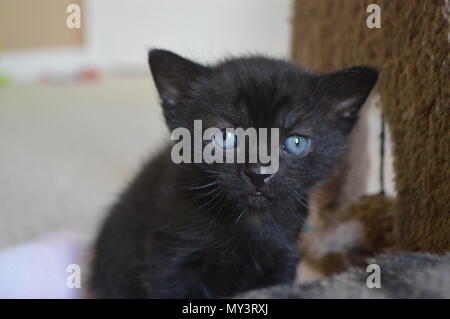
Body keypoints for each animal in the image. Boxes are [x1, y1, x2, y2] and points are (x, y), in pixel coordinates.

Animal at [89, 48, 378, 298]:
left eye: (296, 142)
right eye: (225, 138)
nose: (259, 173)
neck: (246, 222)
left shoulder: (281, 259)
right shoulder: (168, 261)